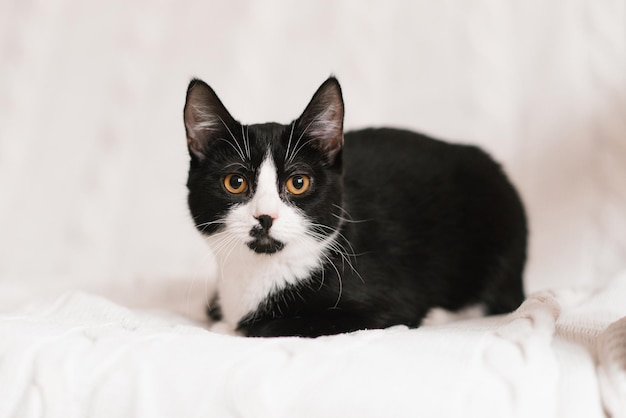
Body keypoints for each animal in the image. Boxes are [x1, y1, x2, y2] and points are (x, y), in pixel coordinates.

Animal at [183, 76, 524, 338]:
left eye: (298, 182)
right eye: (235, 182)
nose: (265, 217)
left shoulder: (386, 307)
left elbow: (269, 326)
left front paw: (233, 326)